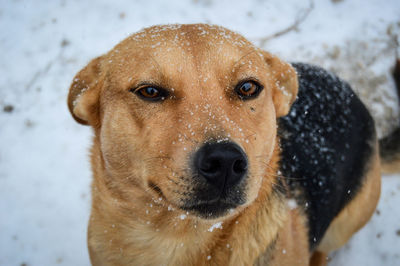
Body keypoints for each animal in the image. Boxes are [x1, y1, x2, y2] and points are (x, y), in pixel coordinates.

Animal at [67, 23, 398, 264]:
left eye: (248, 87)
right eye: (149, 91)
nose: (225, 161)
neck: (174, 239)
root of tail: (346, 89)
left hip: (346, 221)